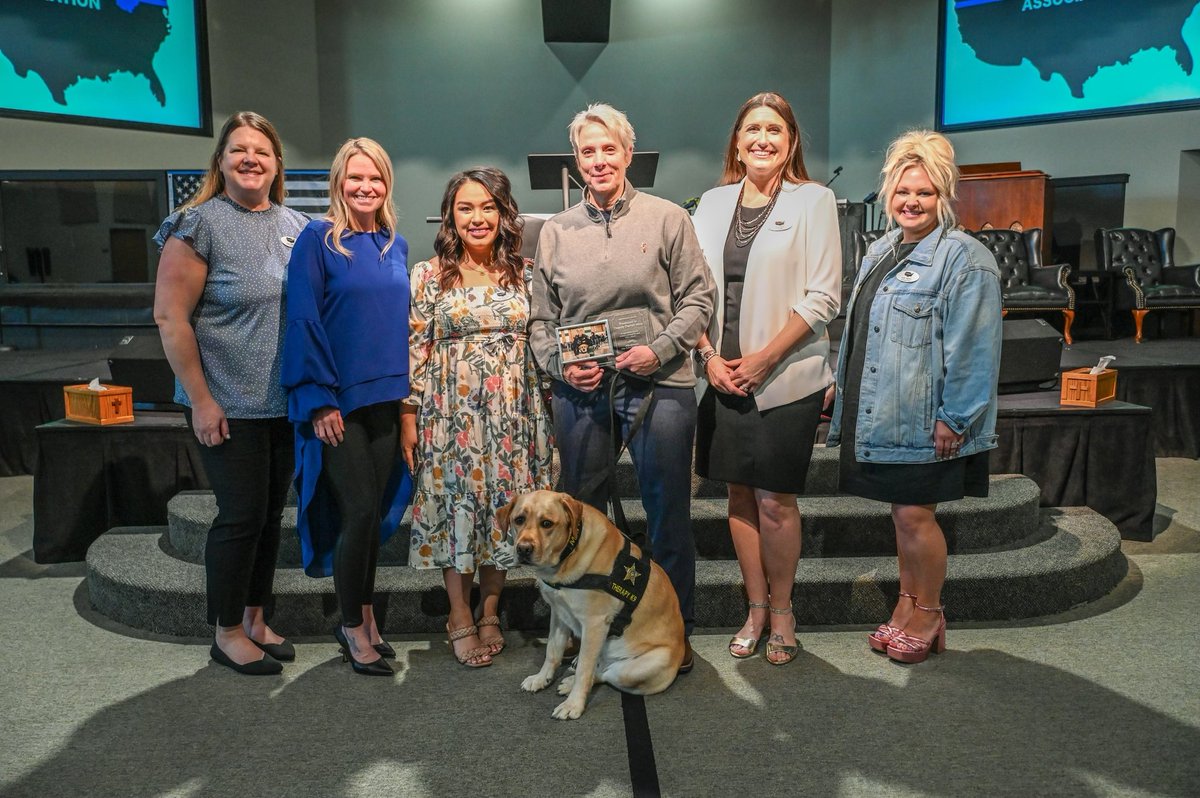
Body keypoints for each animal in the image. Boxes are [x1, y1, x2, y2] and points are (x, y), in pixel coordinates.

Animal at [496, 489, 686, 720]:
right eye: (519, 520)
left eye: (547, 523)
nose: (523, 549)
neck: (568, 555)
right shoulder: (559, 614)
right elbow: (552, 651)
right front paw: (542, 678)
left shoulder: (595, 623)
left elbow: (584, 672)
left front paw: (574, 704)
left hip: (637, 669)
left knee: (603, 673)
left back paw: (572, 683)